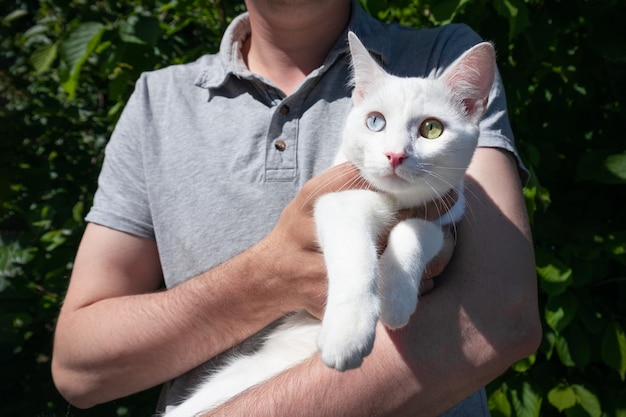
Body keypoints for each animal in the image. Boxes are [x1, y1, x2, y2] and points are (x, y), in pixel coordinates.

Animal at [163, 30, 494, 414]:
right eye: (375, 121)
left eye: (431, 128)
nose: (395, 155)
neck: (394, 200)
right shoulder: (335, 201)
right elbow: (355, 255)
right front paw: (349, 331)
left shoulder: (443, 217)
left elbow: (413, 232)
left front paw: (396, 297)